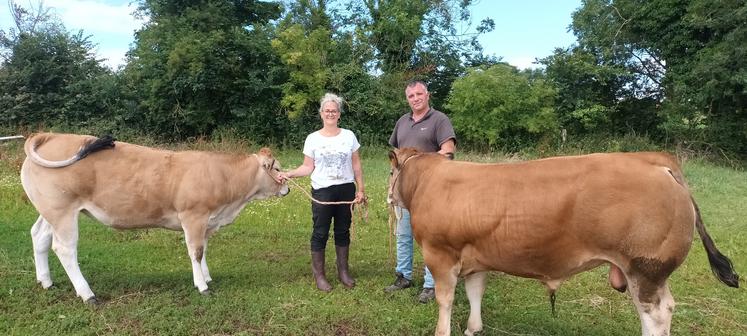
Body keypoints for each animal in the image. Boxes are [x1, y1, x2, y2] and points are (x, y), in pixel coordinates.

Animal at [20, 133, 290, 304]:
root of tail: (50, 135)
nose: (287, 188)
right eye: (277, 169)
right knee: (64, 249)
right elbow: (196, 251)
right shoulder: (193, 216)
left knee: (39, 236)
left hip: (50, 211)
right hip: (62, 212)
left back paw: (46, 281)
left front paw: (207, 277)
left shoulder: (207, 222)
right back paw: (87, 294)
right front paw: (202, 286)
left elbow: (203, 249)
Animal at [388, 149, 740, 336]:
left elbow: (445, 300)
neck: (428, 180)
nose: (389, 197)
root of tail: (654, 158)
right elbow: (476, 292)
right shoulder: (475, 255)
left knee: (657, 313)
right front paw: (473, 328)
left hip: (646, 268)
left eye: (391, 171)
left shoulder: (440, 253)